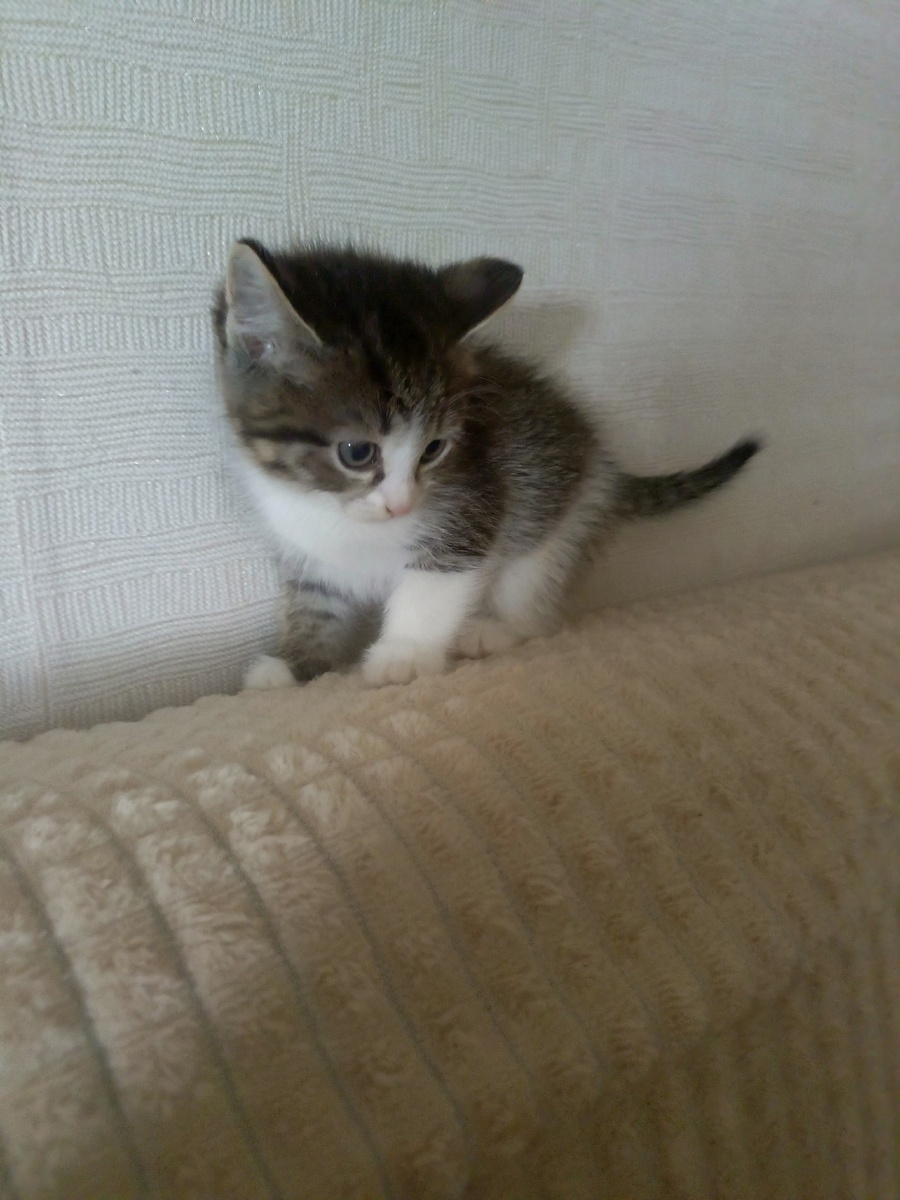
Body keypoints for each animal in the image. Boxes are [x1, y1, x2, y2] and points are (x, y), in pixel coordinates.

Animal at [212, 239, 760, 689]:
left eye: (434, 449)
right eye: (357, 452)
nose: (401, 505)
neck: (340, 515)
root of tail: (602, 461)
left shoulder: (476, 500)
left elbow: (435, 581)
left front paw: (403, 654)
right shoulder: (307, 548)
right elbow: (315, 605)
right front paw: (296, 667)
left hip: (557, 516)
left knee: (535, 602)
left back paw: (495, 631)